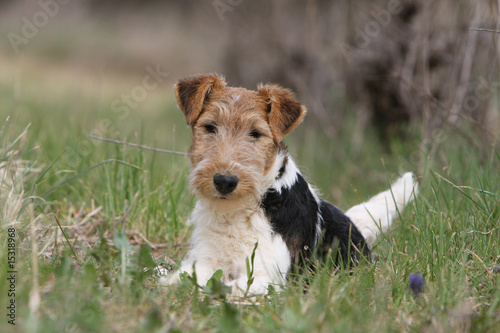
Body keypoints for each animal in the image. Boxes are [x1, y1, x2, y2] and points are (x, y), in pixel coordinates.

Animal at [161, 73, 418, 296]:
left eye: (256, 133)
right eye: (210, 126)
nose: (224, 180)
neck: (239, 211)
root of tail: (355, 226)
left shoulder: (266, 275)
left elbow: (228, 287)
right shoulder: (205, 260)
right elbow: (184, 279)